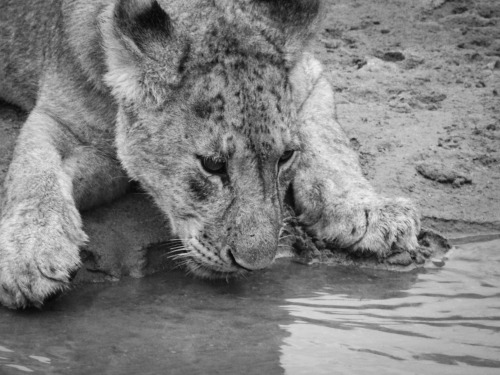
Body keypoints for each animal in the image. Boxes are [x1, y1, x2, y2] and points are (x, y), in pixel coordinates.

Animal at [0, 0, 422, 310]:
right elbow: (33, 172)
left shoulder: (311, 76)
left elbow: (332, 143)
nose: (255, 264)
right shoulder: (55, 115)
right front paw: (30, 253)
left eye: (286, 156)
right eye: (212, 165)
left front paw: (369, 211)